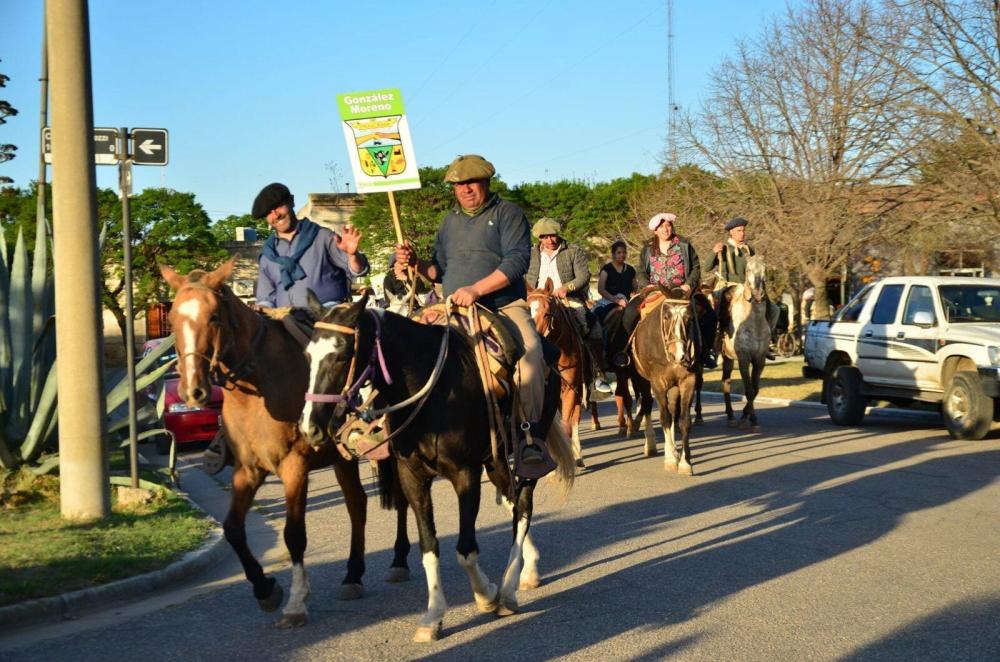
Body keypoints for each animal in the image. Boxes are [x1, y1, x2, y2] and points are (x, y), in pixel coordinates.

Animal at [160, 262, 410, 632]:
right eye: (174, 317)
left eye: (214, 316)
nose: (194, 390)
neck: (258, 388)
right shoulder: (247, 470)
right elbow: (233, 529)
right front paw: (266, 590)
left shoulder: (294, 466)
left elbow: (294, 534)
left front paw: (295, 603)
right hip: (343, 460)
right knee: (357, 504)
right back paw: (352, 575)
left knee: (402, 499)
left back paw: (399, 559)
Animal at [300, 296, 576, 644]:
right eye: (307, 356)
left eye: (340, 355)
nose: (309, 428)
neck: (432, 390)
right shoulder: (412, 477)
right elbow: (429, 548)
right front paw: (433, 616)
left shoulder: (465, 474)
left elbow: (465, 549)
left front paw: (486, 594)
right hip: (495, 458)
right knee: (511, 501)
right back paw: (529, 570)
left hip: (525, 448)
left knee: (523, 504)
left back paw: (510, 590)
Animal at [636, 296, 700, 478]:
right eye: (666, 317)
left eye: (689, 318)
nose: (679, 355)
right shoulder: (657, 382)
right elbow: (664, 417)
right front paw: (670, 459)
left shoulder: (688, 381)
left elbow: (683, 420)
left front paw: (685, 463)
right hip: (642, 380)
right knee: (647, 405)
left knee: (671, 410)